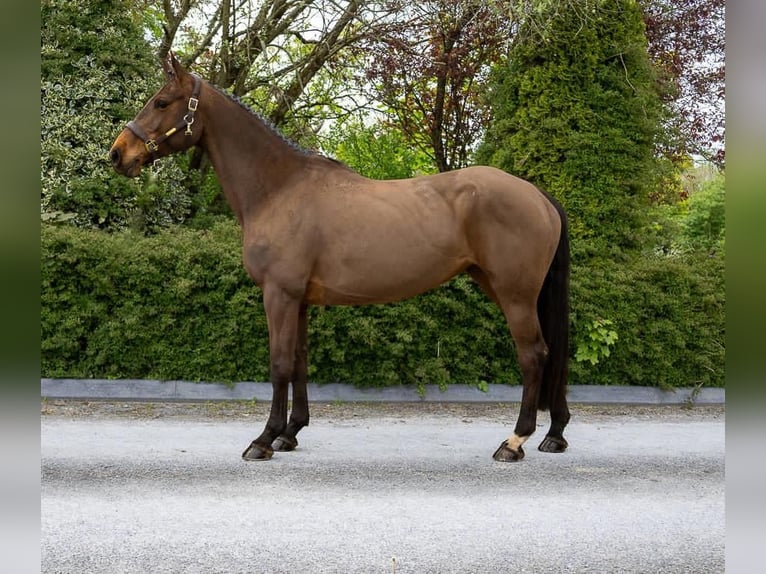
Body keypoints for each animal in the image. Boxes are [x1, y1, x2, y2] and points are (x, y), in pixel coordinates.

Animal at [109, 53, 572, 462]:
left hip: (514, 295)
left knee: (533, 355)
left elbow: (279, 363)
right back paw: (555, 434)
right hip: (503, 288)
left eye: (161, 102)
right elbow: (299, 361)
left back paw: (514, 442)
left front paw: (264, 439)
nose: (118, 153)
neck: (279, 189)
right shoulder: (298, 300)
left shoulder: (279, 294)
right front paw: (290, 433)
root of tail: (538, 195)